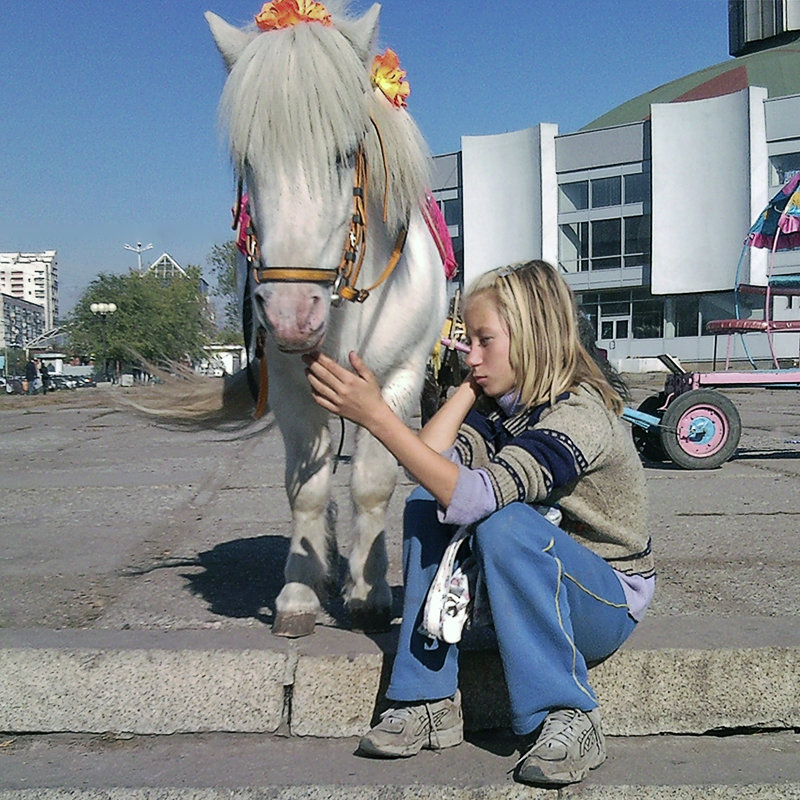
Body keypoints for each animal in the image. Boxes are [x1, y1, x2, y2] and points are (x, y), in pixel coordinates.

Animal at [205, 0, 444, 636]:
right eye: (248, 161)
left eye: (343, 154)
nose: (292, 316)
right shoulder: (292, 386)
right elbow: (307, 490)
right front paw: (299, 590)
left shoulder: (396, 379)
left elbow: (372, 483)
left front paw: (367, 590)